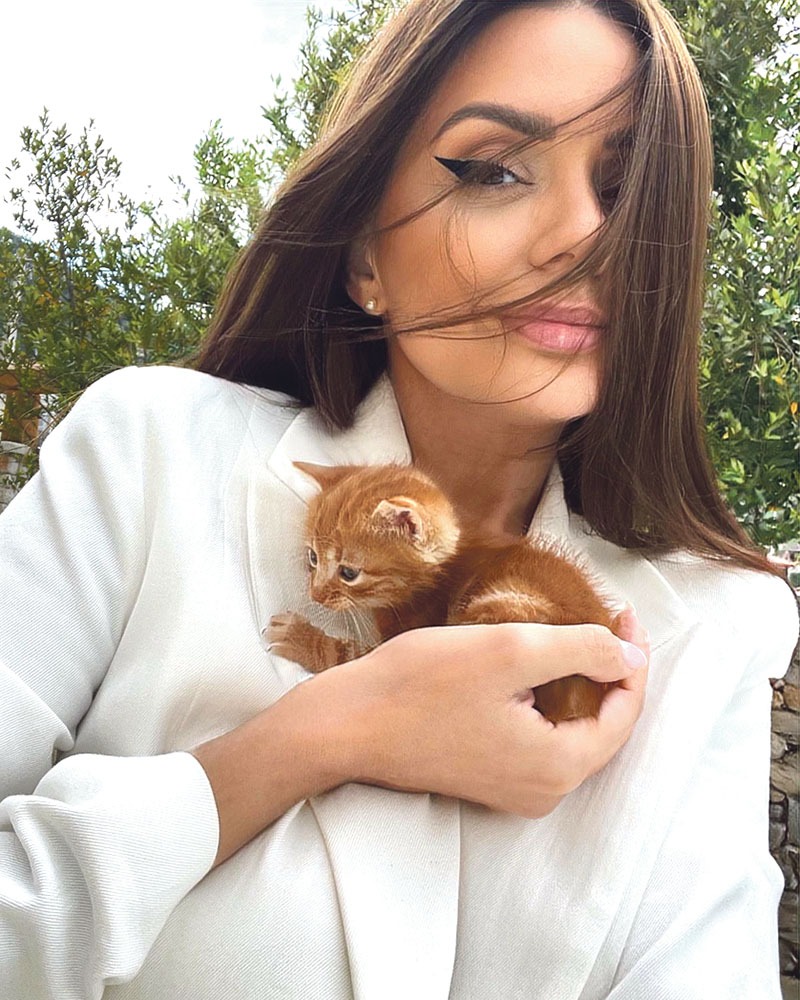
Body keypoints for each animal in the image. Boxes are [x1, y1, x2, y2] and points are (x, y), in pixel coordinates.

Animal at [268, 462, 617, 722]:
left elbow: (351, 659)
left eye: (349, 573)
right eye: (313, 557)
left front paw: (300, 638)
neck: (435, 577)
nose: (315, 594)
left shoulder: (414, 638)